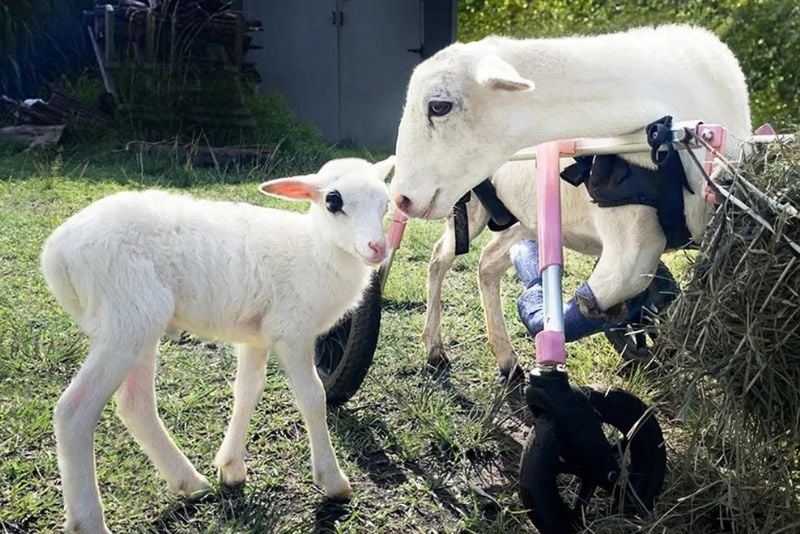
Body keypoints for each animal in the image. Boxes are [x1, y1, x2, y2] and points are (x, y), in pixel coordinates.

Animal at [40, 157, 396, 532]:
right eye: (333, 201)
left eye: (386, 203)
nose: (378, 248)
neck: (316, 250)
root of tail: (55, 253)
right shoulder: (292, 331)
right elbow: (313, 398)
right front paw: (333, 480)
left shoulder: (257, 336)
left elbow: (248, 390)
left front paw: (231, 468)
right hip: (127, 317)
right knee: (74, 412)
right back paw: (90, 519)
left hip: (136, 322)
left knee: (135, 405)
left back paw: (190, 482)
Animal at [392, 25, 752, 350]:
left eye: (439, 106)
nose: (400, 198)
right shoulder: (632, 244)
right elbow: (595, 301)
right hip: (470, 207)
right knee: (440, 259)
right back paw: (434, 346)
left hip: (525, 218)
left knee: (487, 264)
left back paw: (506, 360)